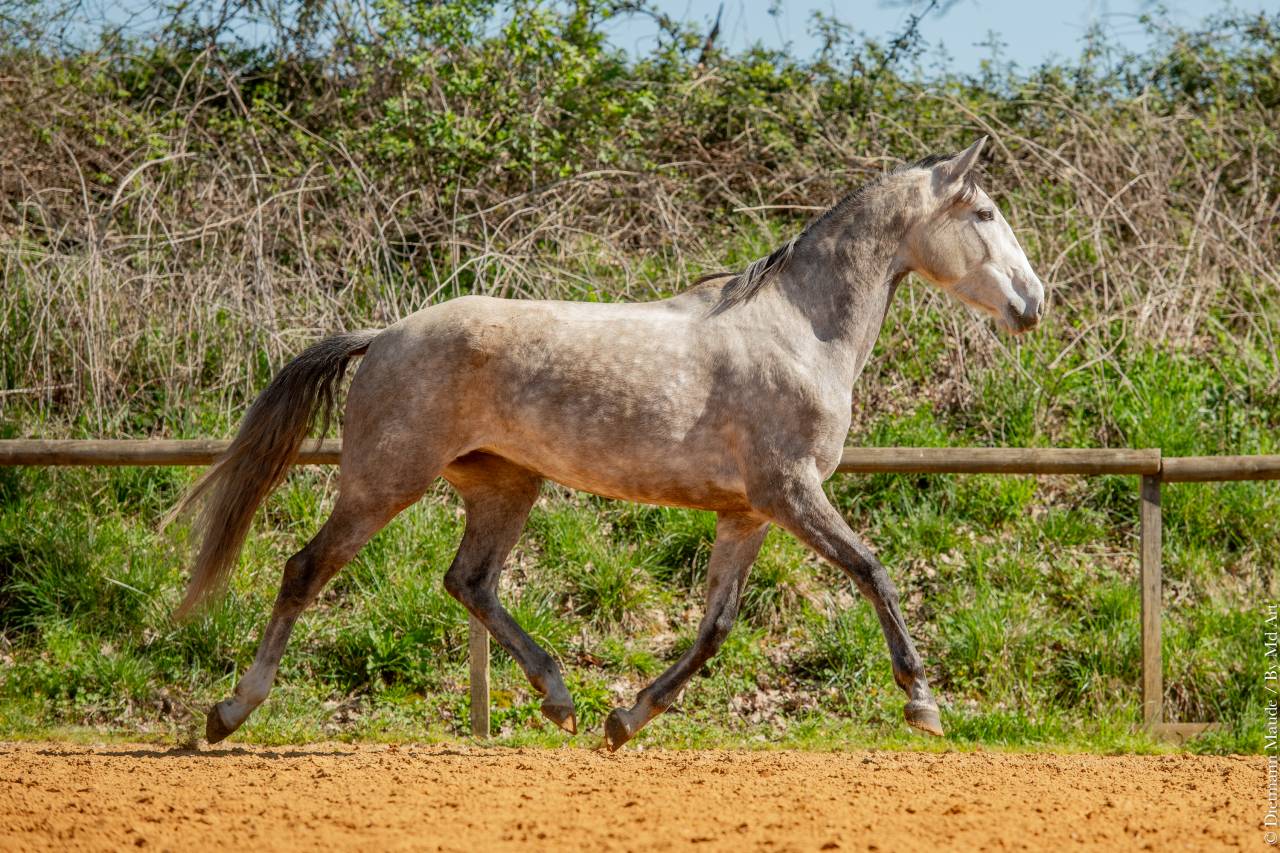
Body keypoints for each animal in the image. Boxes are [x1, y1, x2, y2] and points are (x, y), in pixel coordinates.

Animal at [173, 137, 1046, 749]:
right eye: (983, 215)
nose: (1034, 304)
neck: (799, 332)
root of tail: (383, 334)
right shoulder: (792, 491)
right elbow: (871, 569)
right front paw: (922, 701)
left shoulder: (748, 513)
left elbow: (716, 626)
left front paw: (627, 718)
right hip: (385, 480)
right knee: (307, 569)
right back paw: (230, 711)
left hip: (505, 485)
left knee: (469, 581)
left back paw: (559, 699)